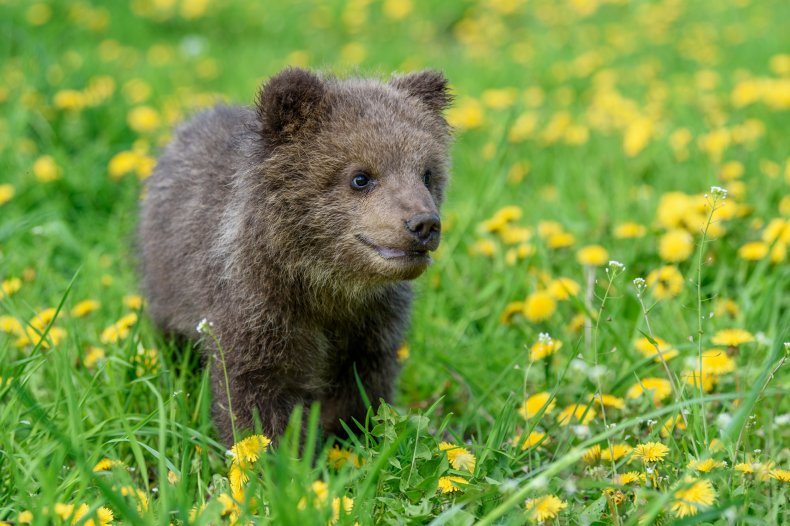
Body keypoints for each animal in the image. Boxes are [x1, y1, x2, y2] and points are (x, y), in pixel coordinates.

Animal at [138, 68, 452, 445]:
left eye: (426, 174)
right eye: (360, 177)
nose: (424, 223)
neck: (326, 284)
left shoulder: (371, 325)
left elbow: (360, 389)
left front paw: (349, 440)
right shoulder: (258, 313)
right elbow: (259, 396)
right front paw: (276, 453)